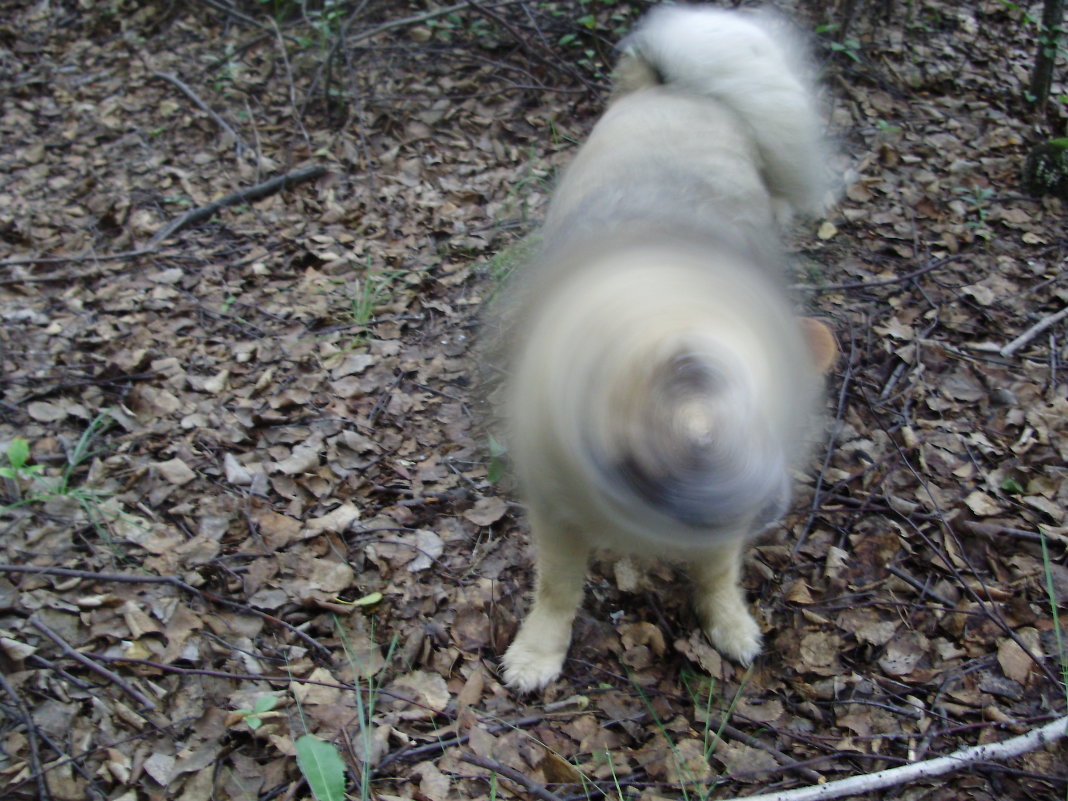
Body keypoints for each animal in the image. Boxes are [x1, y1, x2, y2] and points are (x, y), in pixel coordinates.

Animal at [495, 4, 837, 696]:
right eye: (699, 447)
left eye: (772, 416)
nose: (768, 506)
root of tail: (674, 87)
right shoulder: (555, 513)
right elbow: (557, 589)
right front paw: (540, 650)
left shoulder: (717, 536)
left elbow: (716, 575)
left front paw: (728, 622)